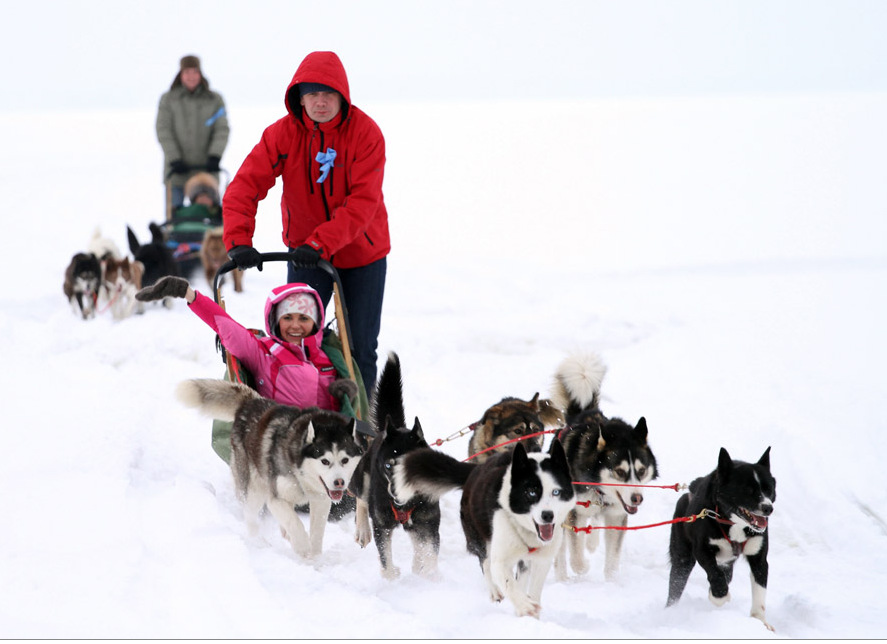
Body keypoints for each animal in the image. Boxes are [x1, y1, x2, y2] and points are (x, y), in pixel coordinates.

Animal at [664, 446, 776, 632]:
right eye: (748, 490)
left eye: (769, 489)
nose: (768, 508)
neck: (732, 522)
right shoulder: (702, 550)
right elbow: (714, 574)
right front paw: (719, 596)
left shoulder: (758, 558)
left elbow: (760, 590)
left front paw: (760, 621)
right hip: (682, 560)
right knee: (676, 586)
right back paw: (670, 612)